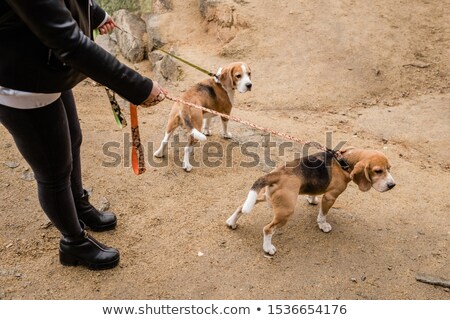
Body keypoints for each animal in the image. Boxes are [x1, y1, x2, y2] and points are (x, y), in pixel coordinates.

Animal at [227, 148, 396, 255]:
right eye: (378, 171)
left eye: (389, 168)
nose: (392, 185)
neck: (343, 162)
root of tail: (276, 173)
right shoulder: (330, 197)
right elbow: (323, 214)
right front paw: (323, 225)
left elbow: (314, 194)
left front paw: (312, 199)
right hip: (286, 211)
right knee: (268, 229)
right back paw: (268, 248)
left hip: (263, 197)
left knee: (241, 207)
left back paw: (231, 222)